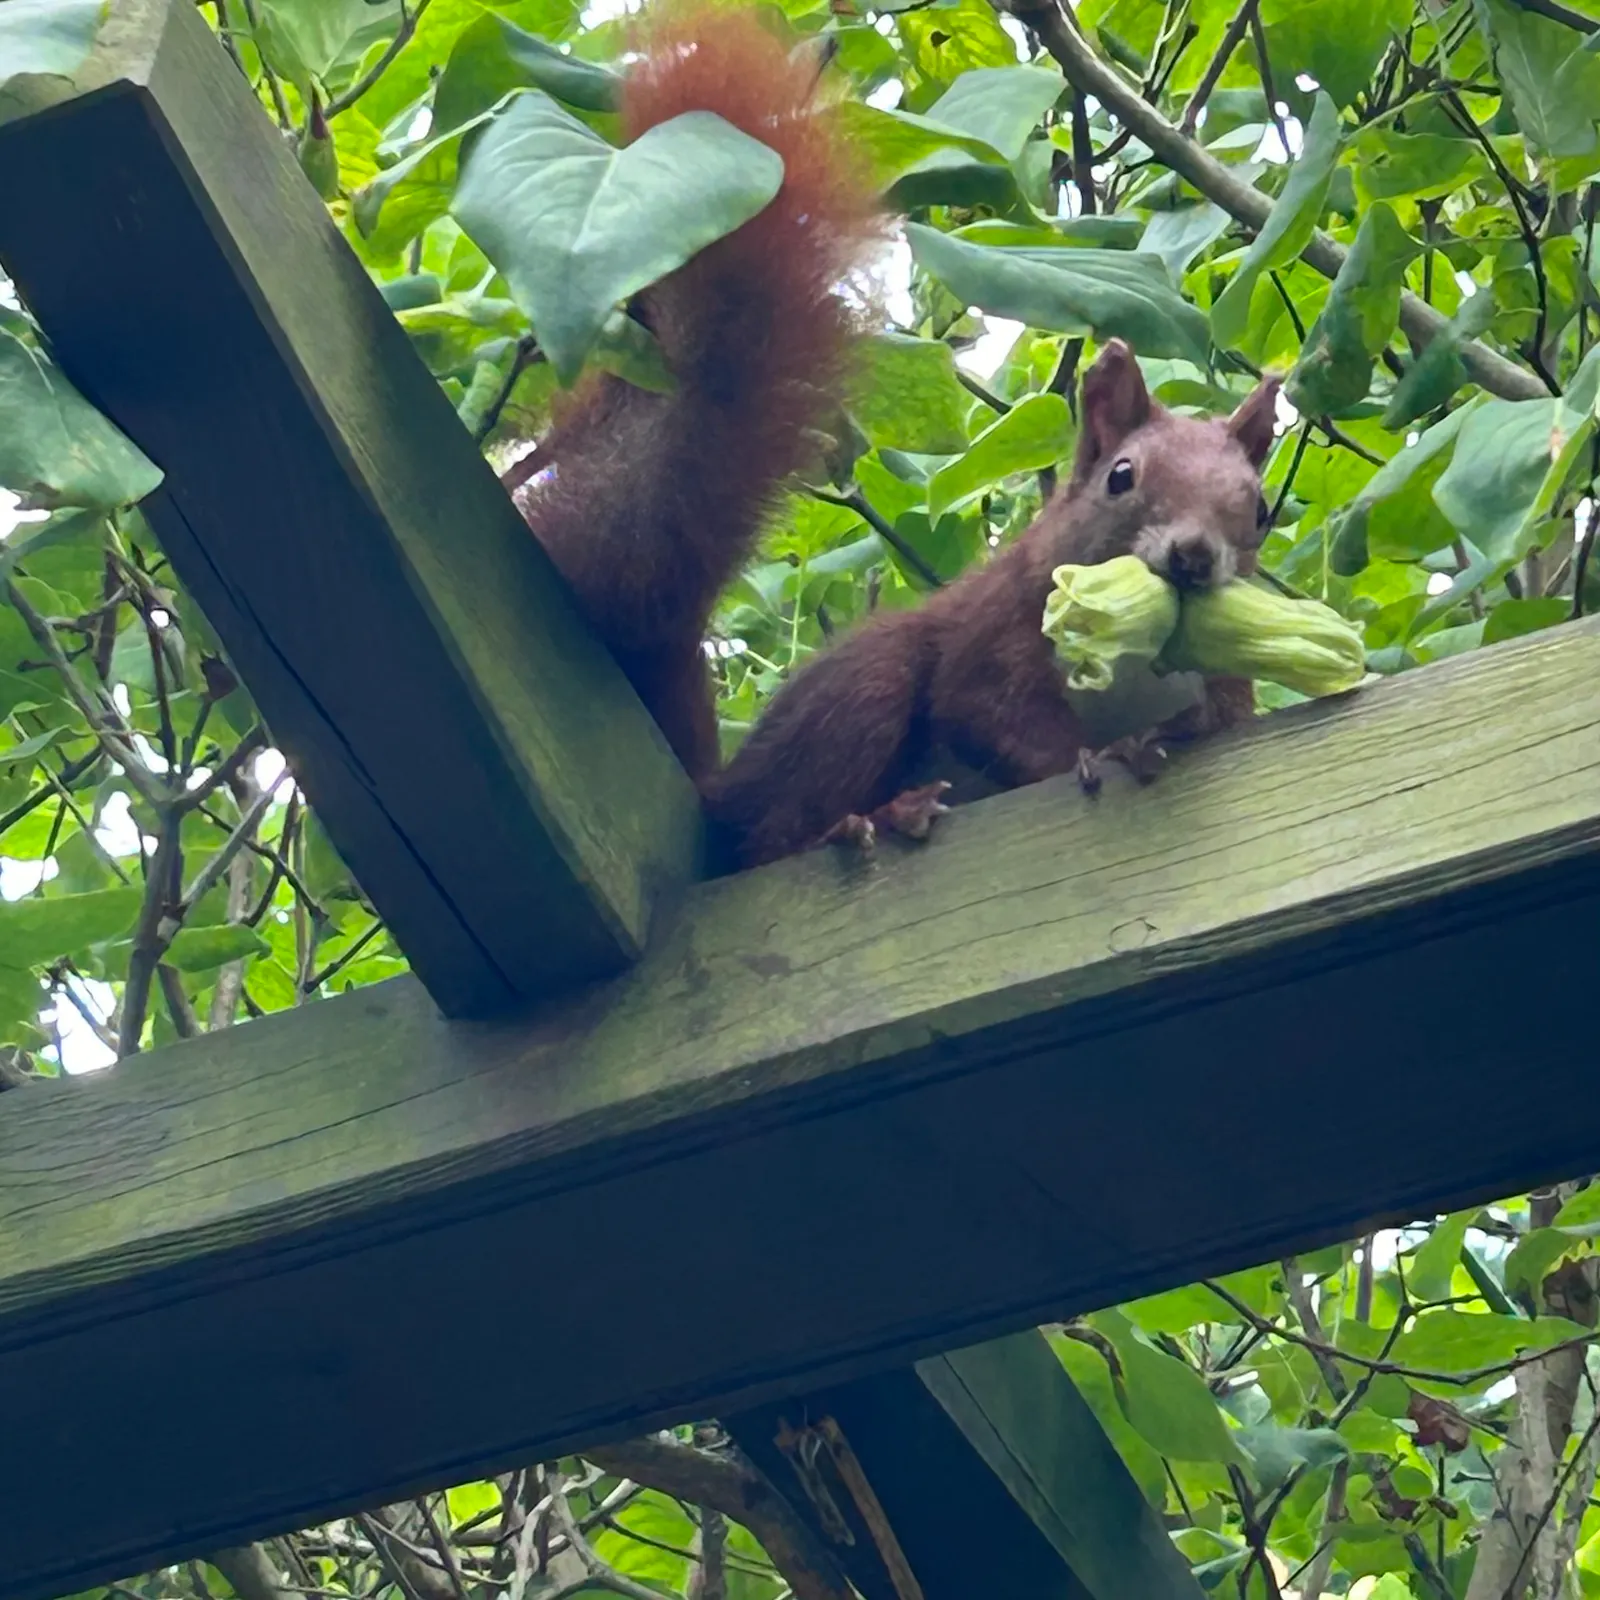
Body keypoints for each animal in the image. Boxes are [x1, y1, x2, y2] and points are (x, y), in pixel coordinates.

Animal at [701, 341, 1282, 870]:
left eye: (1260, 510)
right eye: (1120, 476)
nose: (1194, 557)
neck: (1133, 652)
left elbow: (1221, 720)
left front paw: (1167, 733)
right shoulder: (999, 625)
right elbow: (985, 713)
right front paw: (1110, 751)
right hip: (857, 694)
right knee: (770, 837)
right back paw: (871, 823)